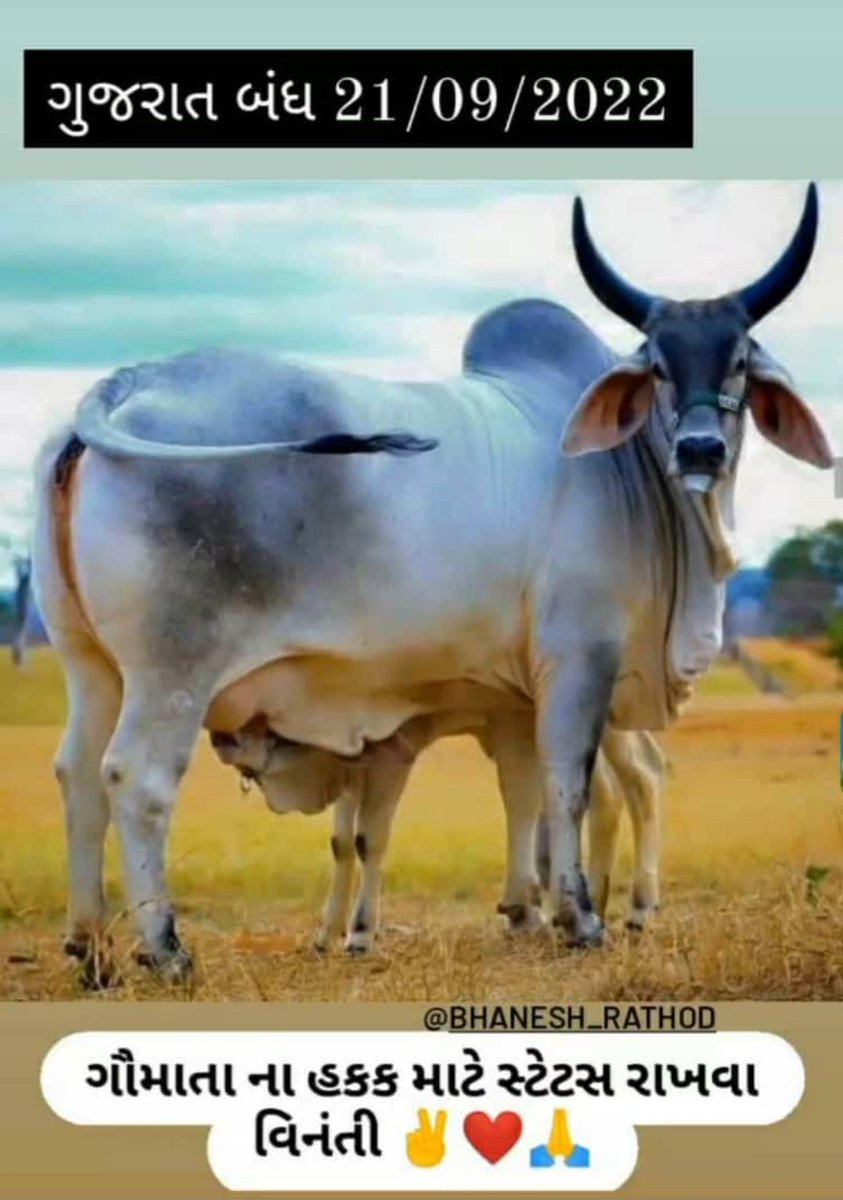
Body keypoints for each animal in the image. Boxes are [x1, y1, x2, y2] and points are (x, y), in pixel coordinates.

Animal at [31, 184, 831, 983]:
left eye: (739, 361)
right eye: (658, 366)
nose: (701, 449)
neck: (626, 469)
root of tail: (127, 383)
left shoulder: (515, 696)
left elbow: (526, 794)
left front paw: (530, 912)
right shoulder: (582, 654)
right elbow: (566, 784)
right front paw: (579, 917)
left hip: (92, 665)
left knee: (77, 775)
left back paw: (91, 947)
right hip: (173, 670)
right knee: (137, 779)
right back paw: (164, 948)